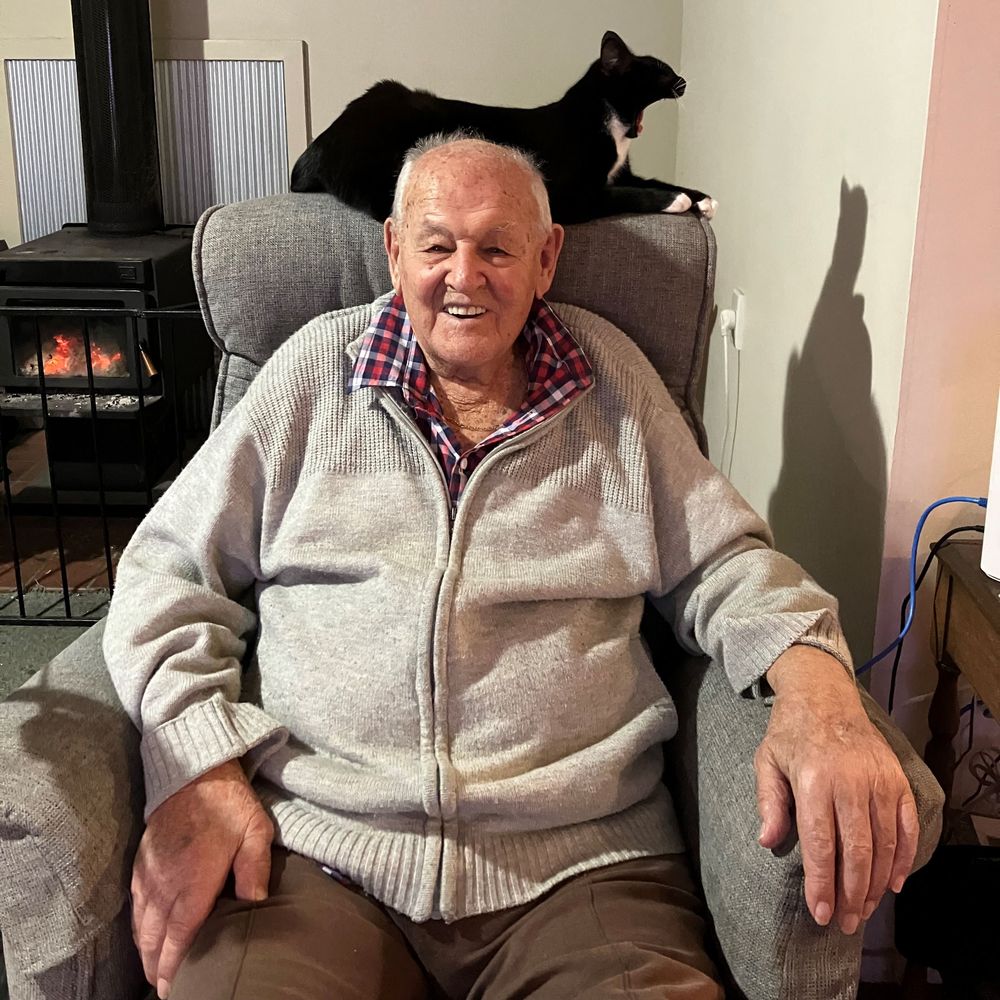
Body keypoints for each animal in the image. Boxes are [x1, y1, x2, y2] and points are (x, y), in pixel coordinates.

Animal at [289, 31, 715, 225]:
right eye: (660, 70)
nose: (683, 79)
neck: (610, 120)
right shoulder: (571, 194)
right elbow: (624, 193)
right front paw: (676, 200)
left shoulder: (620, 173)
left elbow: (651, 179)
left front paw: (702, 197)